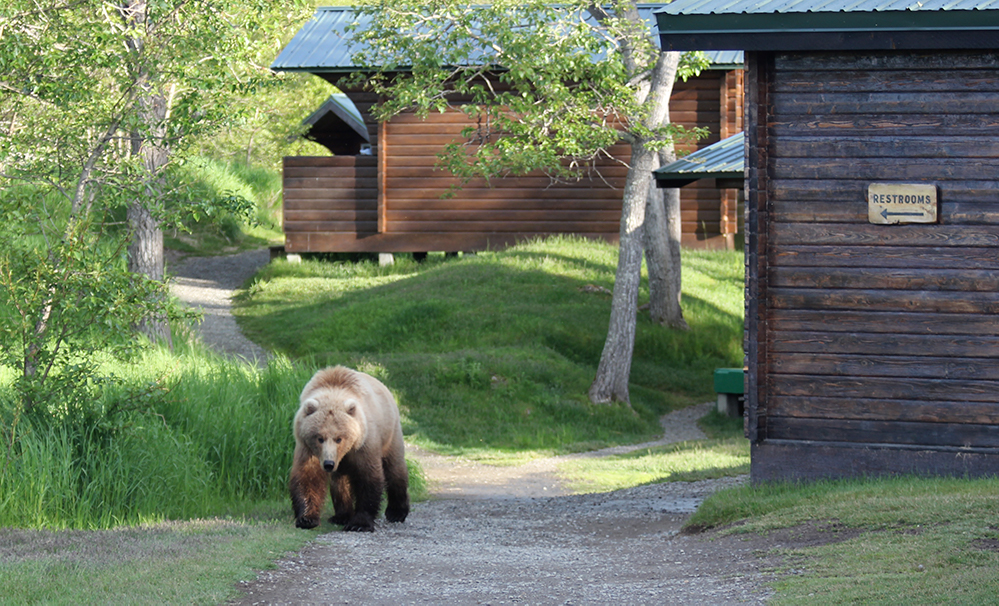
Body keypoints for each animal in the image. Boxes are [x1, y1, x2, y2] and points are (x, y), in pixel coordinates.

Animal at [290, 366, 410, 532]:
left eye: (339, 438)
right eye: (319, 438)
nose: (328, 464)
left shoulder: (365, 444)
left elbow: (368, 477)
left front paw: (359, 523)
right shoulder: (308, 448)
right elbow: (308, 476)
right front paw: (306, 518)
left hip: (390, 434)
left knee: (395, 469)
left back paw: (397, 512)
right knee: (340, 482)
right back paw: (341, 515)